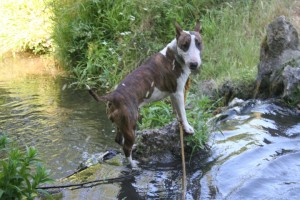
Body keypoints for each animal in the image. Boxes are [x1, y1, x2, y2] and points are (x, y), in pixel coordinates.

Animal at [88, 21, 203, 168]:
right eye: (185, 45)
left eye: (199, 43)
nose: (194, 64)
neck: (175, 55)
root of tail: (112, 96)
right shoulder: (178, 92)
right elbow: (183, 112)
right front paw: (187, 128)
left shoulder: (173, 94)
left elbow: (177, 111)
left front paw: (179, 123)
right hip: (131, 124)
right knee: (126, 147)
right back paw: (134, 165)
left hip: (121, 124)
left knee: (119, 140)